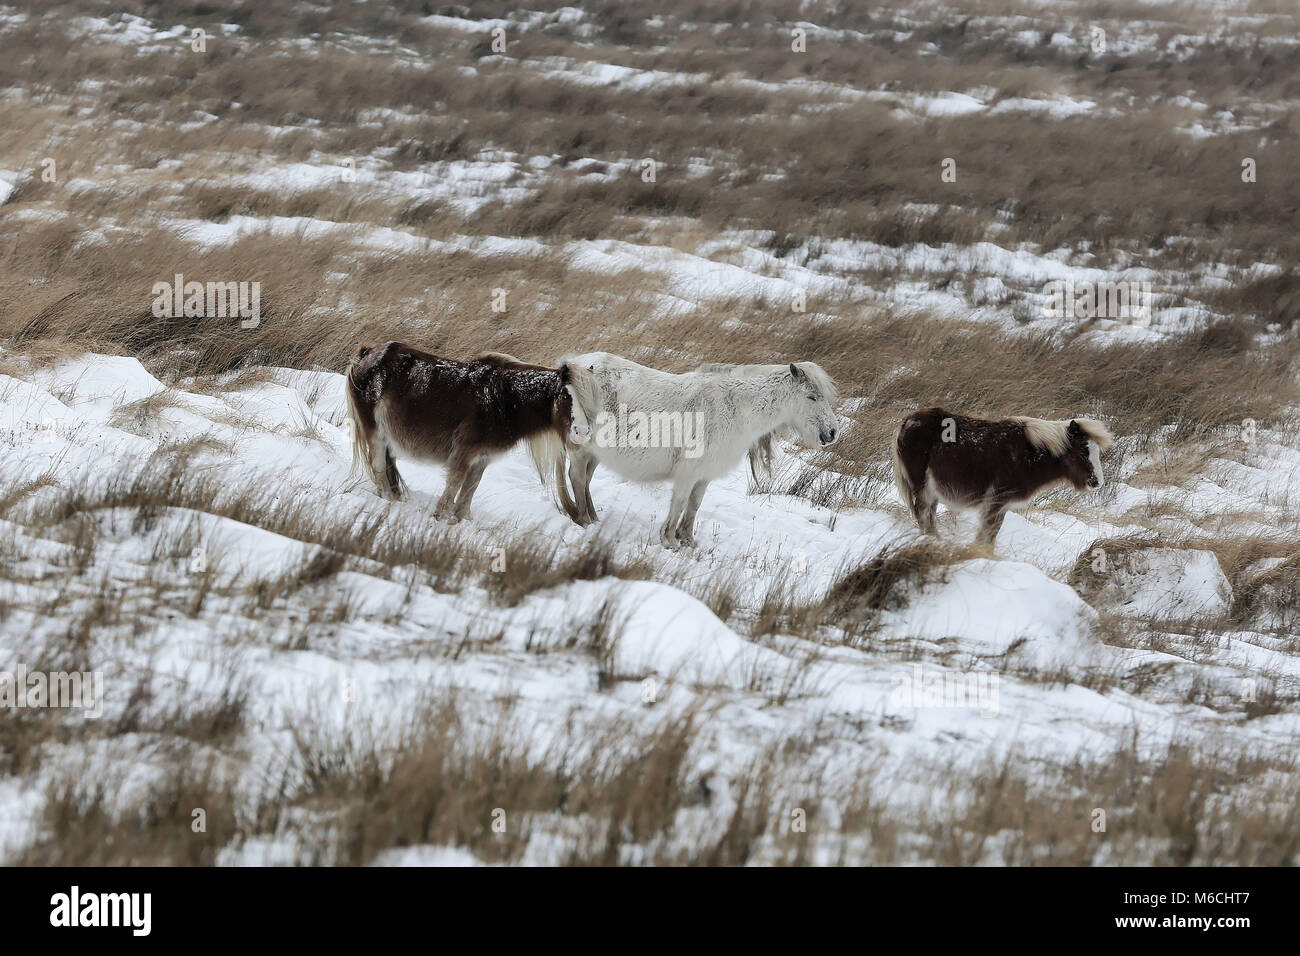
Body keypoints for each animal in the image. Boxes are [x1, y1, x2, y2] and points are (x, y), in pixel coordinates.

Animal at [345, 342, 590, 523]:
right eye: (566, 396)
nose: (583, 431)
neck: (504, 400)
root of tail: (367, 354)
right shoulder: (463, 453)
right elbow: (455, 483)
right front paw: (440, 516)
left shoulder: (481, 458)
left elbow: (469, 490)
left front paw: (460, 519)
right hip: (375, 432)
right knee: (378, 465)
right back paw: (388, 500)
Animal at [562, 352, 840, 549]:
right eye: (812, 397)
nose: (832, 433)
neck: (735, 409)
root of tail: (574, 364)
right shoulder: (688, 472)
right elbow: (680, 502)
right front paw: (669, 539)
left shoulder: (704, 474)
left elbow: (694, 505)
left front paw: (687, 539)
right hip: (580, 448)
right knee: (577, 478)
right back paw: (584, 519)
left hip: (595, 454)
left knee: (585, 481)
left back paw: (593, 518)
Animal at [891, 407, 1113, 547]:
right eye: (1083, 451)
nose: (1096, 482)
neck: (1031, 454)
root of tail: (907, 421)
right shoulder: (994, 502)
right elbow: (986, 535)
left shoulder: (1002, 506)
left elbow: (991, 535)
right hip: (922, 487)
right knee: (923, 514)